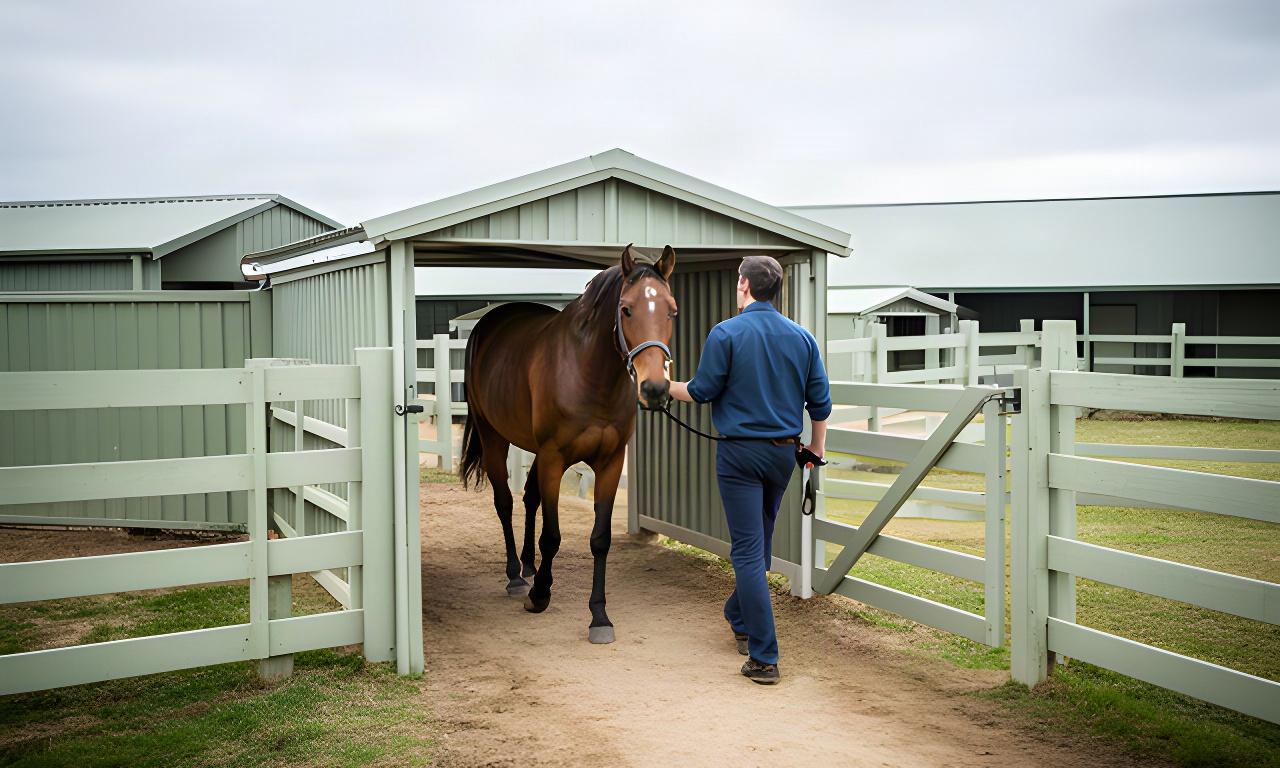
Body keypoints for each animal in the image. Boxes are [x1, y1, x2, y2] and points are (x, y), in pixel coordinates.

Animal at [458, 244, 677, 644]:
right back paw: (516, 576)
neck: (589, 374)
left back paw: (528, 566)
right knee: (505, 502)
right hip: (495, 437)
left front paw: (599, 617)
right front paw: (539, 595)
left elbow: (600, 539)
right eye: (626, 308)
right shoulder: (554, 458)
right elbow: (553, 536)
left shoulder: (610, 462)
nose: (654, 389)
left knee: (529, 499)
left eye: (671, 309)